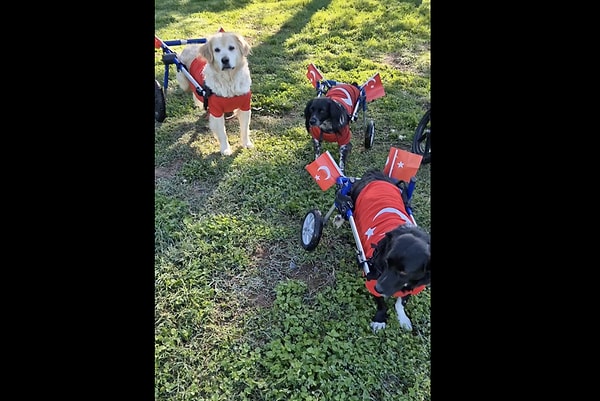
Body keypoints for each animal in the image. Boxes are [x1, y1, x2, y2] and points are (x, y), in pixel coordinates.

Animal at [338, 170, 432, 330]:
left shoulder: (413, 287)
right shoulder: (371, 279)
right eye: (387, 262)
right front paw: (380, 319)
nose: (379, 287)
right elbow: (381, 303)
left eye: (404, 272)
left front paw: (403, 318)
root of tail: (377, 176)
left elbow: (401, 302)